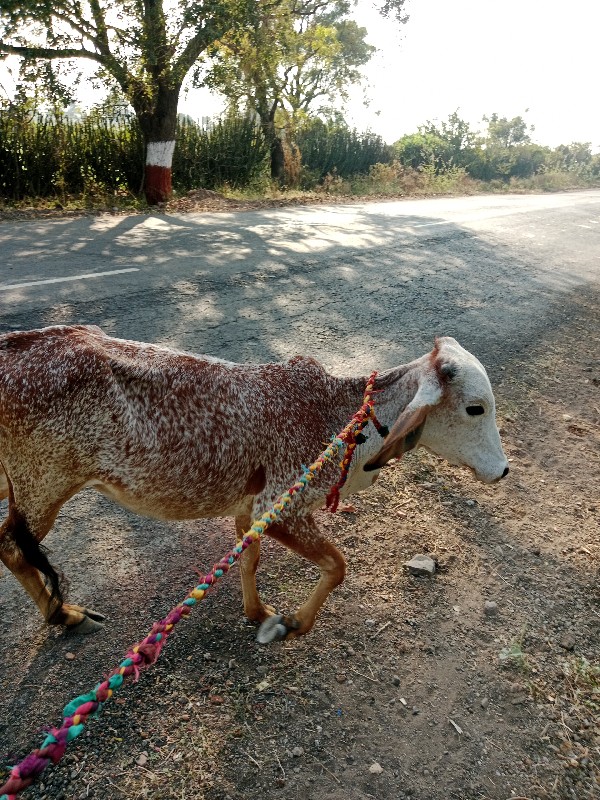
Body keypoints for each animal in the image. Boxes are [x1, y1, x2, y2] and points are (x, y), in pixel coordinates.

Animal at [0, 324, 508, 636]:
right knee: (12, 546)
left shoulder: (250, 510)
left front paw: (255, 612)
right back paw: (62, 614)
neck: (339, 417)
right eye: (474, 408)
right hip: (42, 487)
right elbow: (337, 565)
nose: (503, 470)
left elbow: (249, 560)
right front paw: (294, 624)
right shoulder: (280, 506)